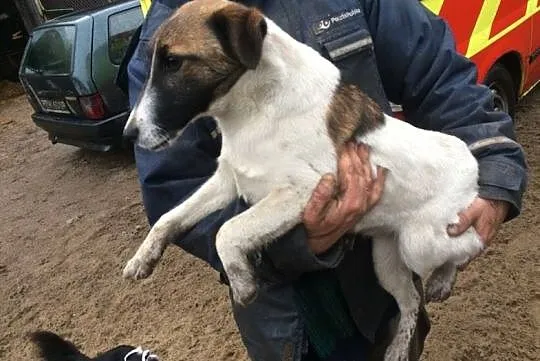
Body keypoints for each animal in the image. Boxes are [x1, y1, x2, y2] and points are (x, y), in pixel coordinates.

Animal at [123, 1, 486, 358]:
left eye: (173, 62)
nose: (129, 134)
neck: (251, 111)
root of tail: (469, 163)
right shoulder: (228, 179)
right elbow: (169, 217)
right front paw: (142, 258)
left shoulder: (303, 190)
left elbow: (228, 230)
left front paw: (242, 282)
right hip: (386, 259)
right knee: (410, 300)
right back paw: (398, 346)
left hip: (420, 244)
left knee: (469, 247)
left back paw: (443, 279)